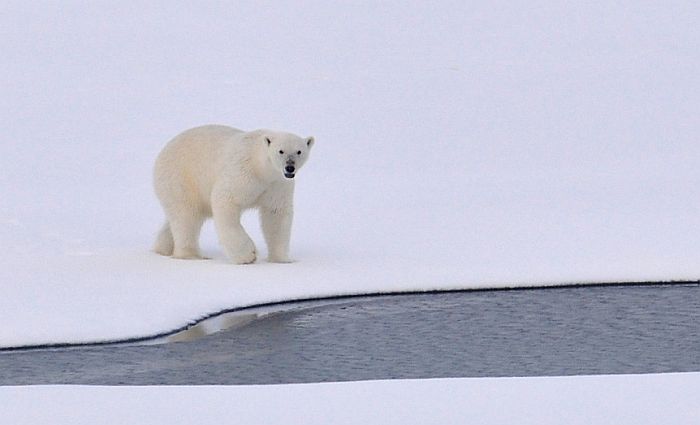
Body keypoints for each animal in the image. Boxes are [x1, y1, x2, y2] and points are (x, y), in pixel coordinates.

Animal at [157, 123, 318, 262]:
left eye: (299, 151)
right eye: (281, 151)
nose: (290, 167)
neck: (260, 168)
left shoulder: (277, 184)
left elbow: (276, 214)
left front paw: (282, 259)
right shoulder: (242, 172)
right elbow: (225, 199)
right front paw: (248, 255)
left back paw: (162, 248)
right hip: (181, 178)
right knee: (186, 216)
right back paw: (191, 255)